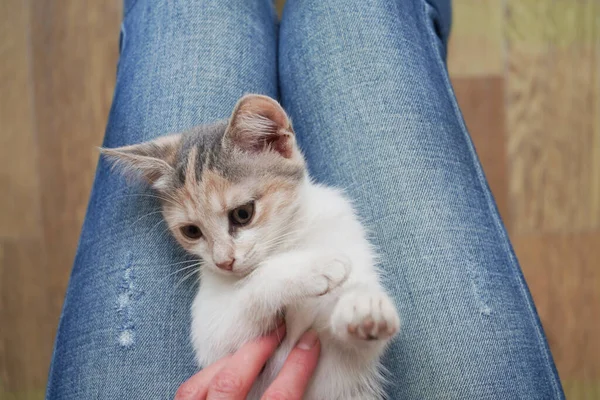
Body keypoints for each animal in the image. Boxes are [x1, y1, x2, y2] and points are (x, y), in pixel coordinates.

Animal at [102, 95, 404, 398]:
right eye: (191, 231)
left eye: (243, 214)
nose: (224, 261)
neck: (289, 241)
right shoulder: (215, 345)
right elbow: (250, 291)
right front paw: (315, 267)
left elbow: (356, 345)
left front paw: (365, 307)